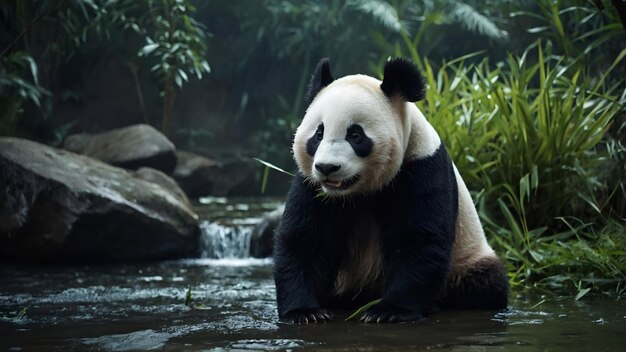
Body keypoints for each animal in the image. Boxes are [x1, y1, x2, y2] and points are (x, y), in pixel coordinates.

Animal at [272, 58, 508, 324]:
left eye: (355, 134)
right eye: (319, 133)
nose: (327, 168)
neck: (357, 192)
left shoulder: (421, 166)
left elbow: (418, 240)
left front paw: (389, 311)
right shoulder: (311, 186)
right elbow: (306, 239)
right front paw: (305, 312)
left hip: (467, 257)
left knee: (485, 283)